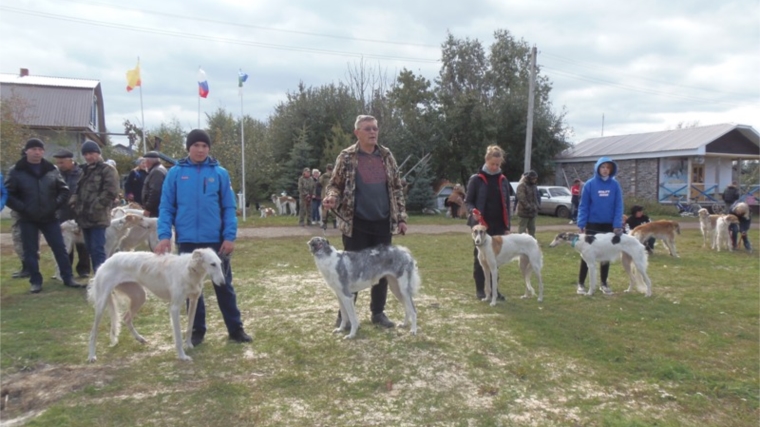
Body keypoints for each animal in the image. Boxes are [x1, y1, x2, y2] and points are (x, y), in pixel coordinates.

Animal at [87, 249, 226, 362]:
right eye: (212, 264)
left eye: (220, 263)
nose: (223, 284)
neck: (189, 270)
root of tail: (106, 261)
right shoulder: (174, 307)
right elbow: (178, 336)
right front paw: (182, 356)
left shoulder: (194, 300)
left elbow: (189, 327)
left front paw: (189, 345)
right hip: (102, 304)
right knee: (93, 332)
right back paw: (91, 356)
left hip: (140, 296)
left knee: (126, 318)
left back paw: (140, 338)